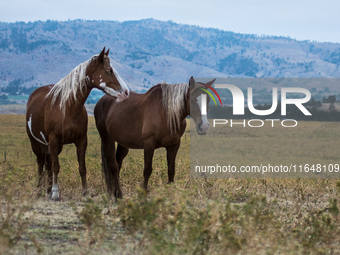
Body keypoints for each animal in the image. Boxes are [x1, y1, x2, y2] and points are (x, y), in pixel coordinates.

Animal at [25, 46, 130, 200]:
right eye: (109, 70)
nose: (126, 92)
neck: (68, 107)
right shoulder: (53, 140)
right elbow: (56, 167)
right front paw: (56, 193)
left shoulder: (81, 140)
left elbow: (81, 167)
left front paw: (85, 193)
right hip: (36, 143)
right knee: (40, 162)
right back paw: (40, 189)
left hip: (53, 146)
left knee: (48, 163)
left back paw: (48, 190)